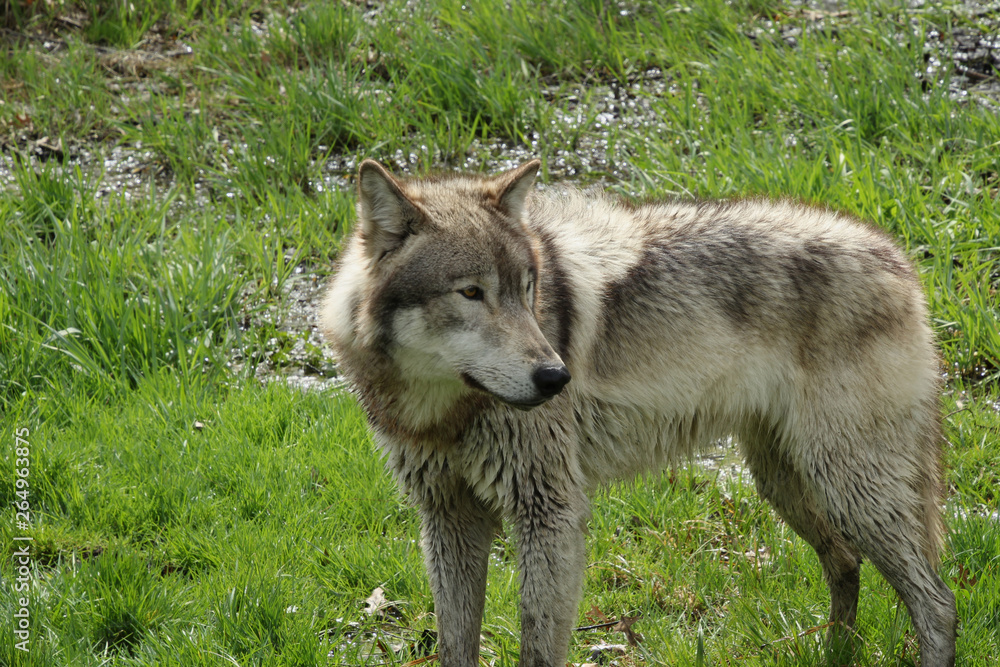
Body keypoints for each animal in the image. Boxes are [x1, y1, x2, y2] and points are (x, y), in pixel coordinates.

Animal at [320, 159, 957, 667]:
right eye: (471, 293)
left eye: (527, 289)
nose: (556, 378)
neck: (442, 413)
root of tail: (899, 259)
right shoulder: (448, 518)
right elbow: (456, 644)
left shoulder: (549, 513)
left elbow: (536, 645)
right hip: (787, 484)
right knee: (847, 565)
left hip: (849, 490)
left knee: (938, 604)